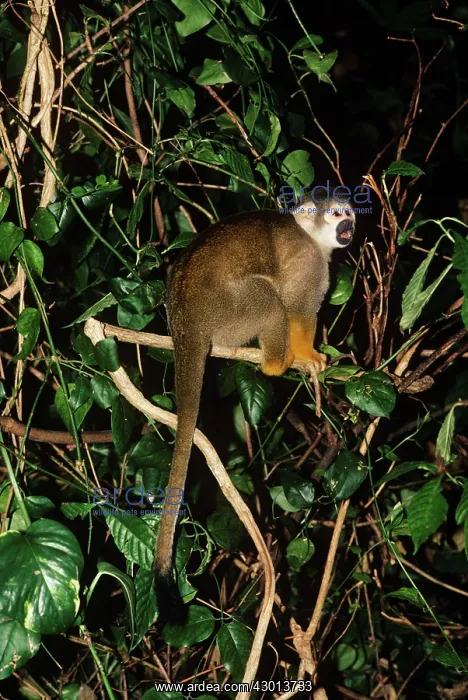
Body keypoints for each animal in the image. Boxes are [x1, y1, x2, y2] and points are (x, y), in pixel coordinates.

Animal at [154, 196, 355, 622]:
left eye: (349, 213)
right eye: (335, 214)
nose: (348, 225)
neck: (314, 239)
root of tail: (184, 322)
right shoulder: (309, 263)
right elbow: (297, 308)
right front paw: (307, 355)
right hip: (228, 312)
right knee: (268, 297)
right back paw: (277, 364)